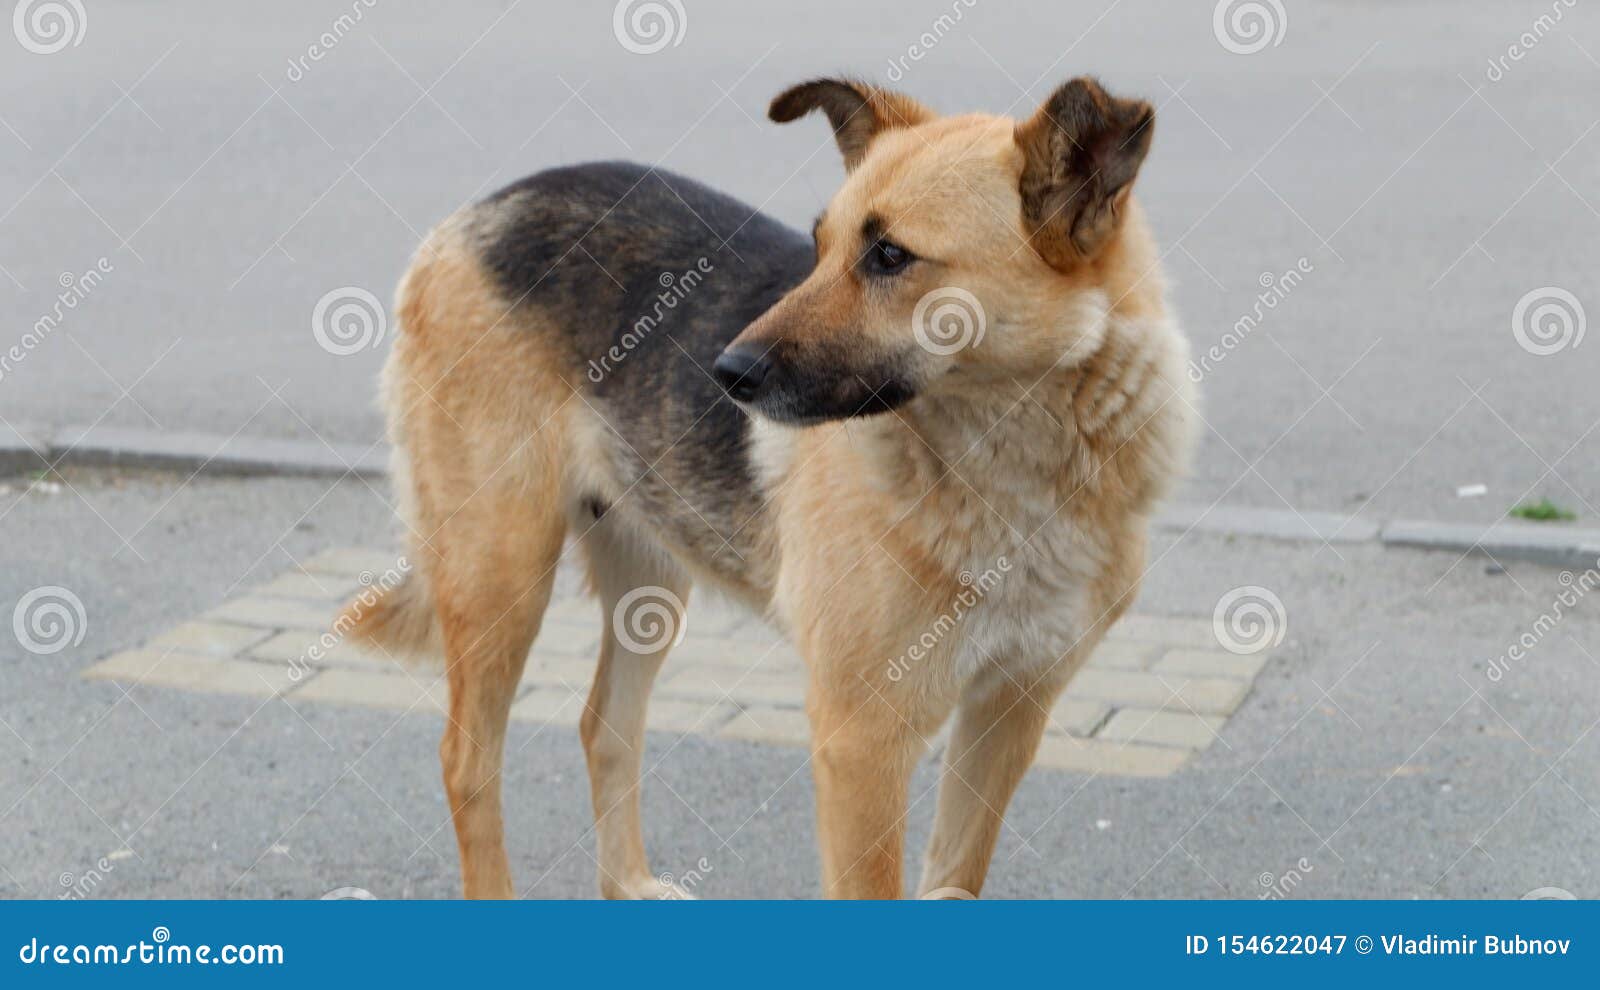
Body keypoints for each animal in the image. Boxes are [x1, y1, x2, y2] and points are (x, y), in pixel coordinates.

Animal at [347, 75, 1203, 895]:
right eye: (820, 246)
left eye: (890, 257)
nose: (724, 372)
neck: (1019, 465)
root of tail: (476, 212)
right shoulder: (862, 743)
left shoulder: (1007, 717)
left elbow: (956, 879)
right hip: (502, 575)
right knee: (466, 761)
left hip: (651, 582)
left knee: (605, 728)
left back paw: (629, 884)